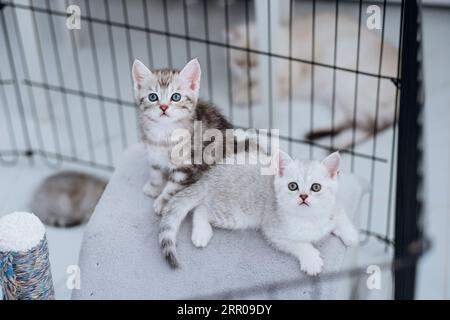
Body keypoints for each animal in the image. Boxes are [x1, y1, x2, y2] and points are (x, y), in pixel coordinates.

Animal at [132, 59, 232, 215]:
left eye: (176, 97)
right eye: (153, 97)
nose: (163, 107)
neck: (164, 132)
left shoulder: (187, 164)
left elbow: (174, 185)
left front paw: (162, 202)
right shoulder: (152, 150)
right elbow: (155, 169)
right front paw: (154, 187)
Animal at [158, 151, 358, 276]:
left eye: (316, 187)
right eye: (292, 186)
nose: (303, 196)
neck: (309, 218)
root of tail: (210, 176)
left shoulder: (333, 205)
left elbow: (339, 213)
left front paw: (351, 235)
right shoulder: (274, 230)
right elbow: (299, 244)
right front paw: (311, 259)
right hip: (235, 214)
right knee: (201, 209)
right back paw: (201, 233)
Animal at [227, 11, 400, 148]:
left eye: (255, 64)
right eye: (238, 63)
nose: (245, 70)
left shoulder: (284, 82)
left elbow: (256, 91)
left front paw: (241, 95)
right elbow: (242, 84)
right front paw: (237, 88)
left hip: (347, 88)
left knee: (370, 126)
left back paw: (330, 142)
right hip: (336, 97)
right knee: (353, 123)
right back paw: (323, 139)